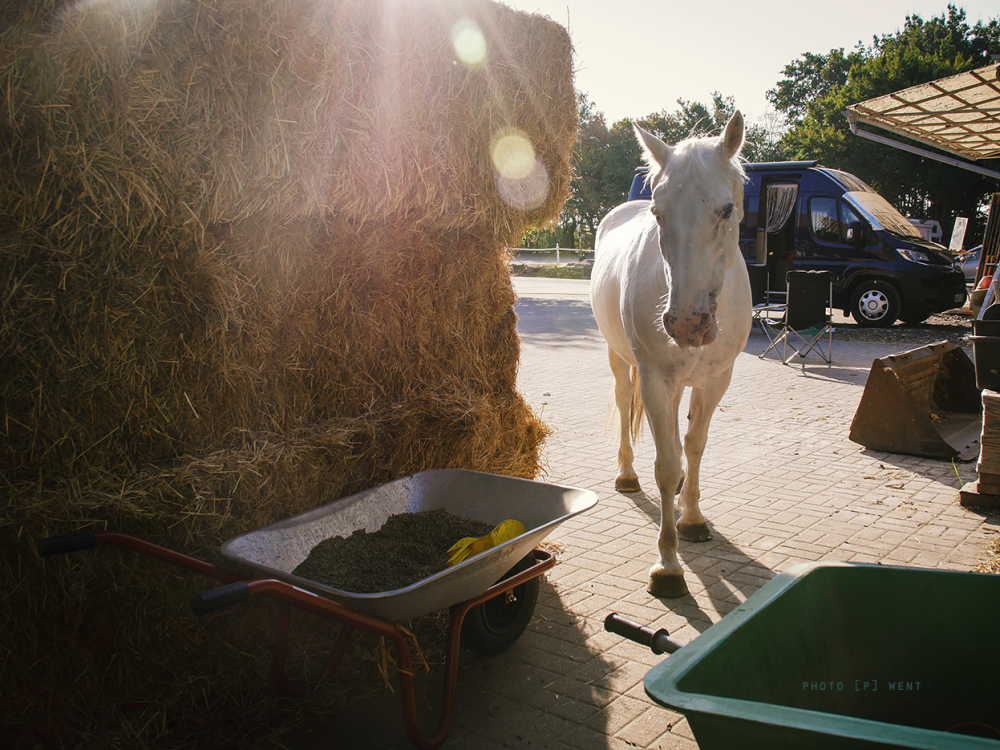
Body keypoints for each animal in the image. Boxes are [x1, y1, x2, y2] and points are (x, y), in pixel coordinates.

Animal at [590, 111, 750, 598]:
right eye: (658, 213)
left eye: (727, 209)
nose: (686, 324)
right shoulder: (655, 377)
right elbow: (664, 464)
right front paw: (668, 564)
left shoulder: (717, 379)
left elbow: (694, 445)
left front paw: (693, 517)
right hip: (621, 360)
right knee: (625, 402)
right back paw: (626, 474)